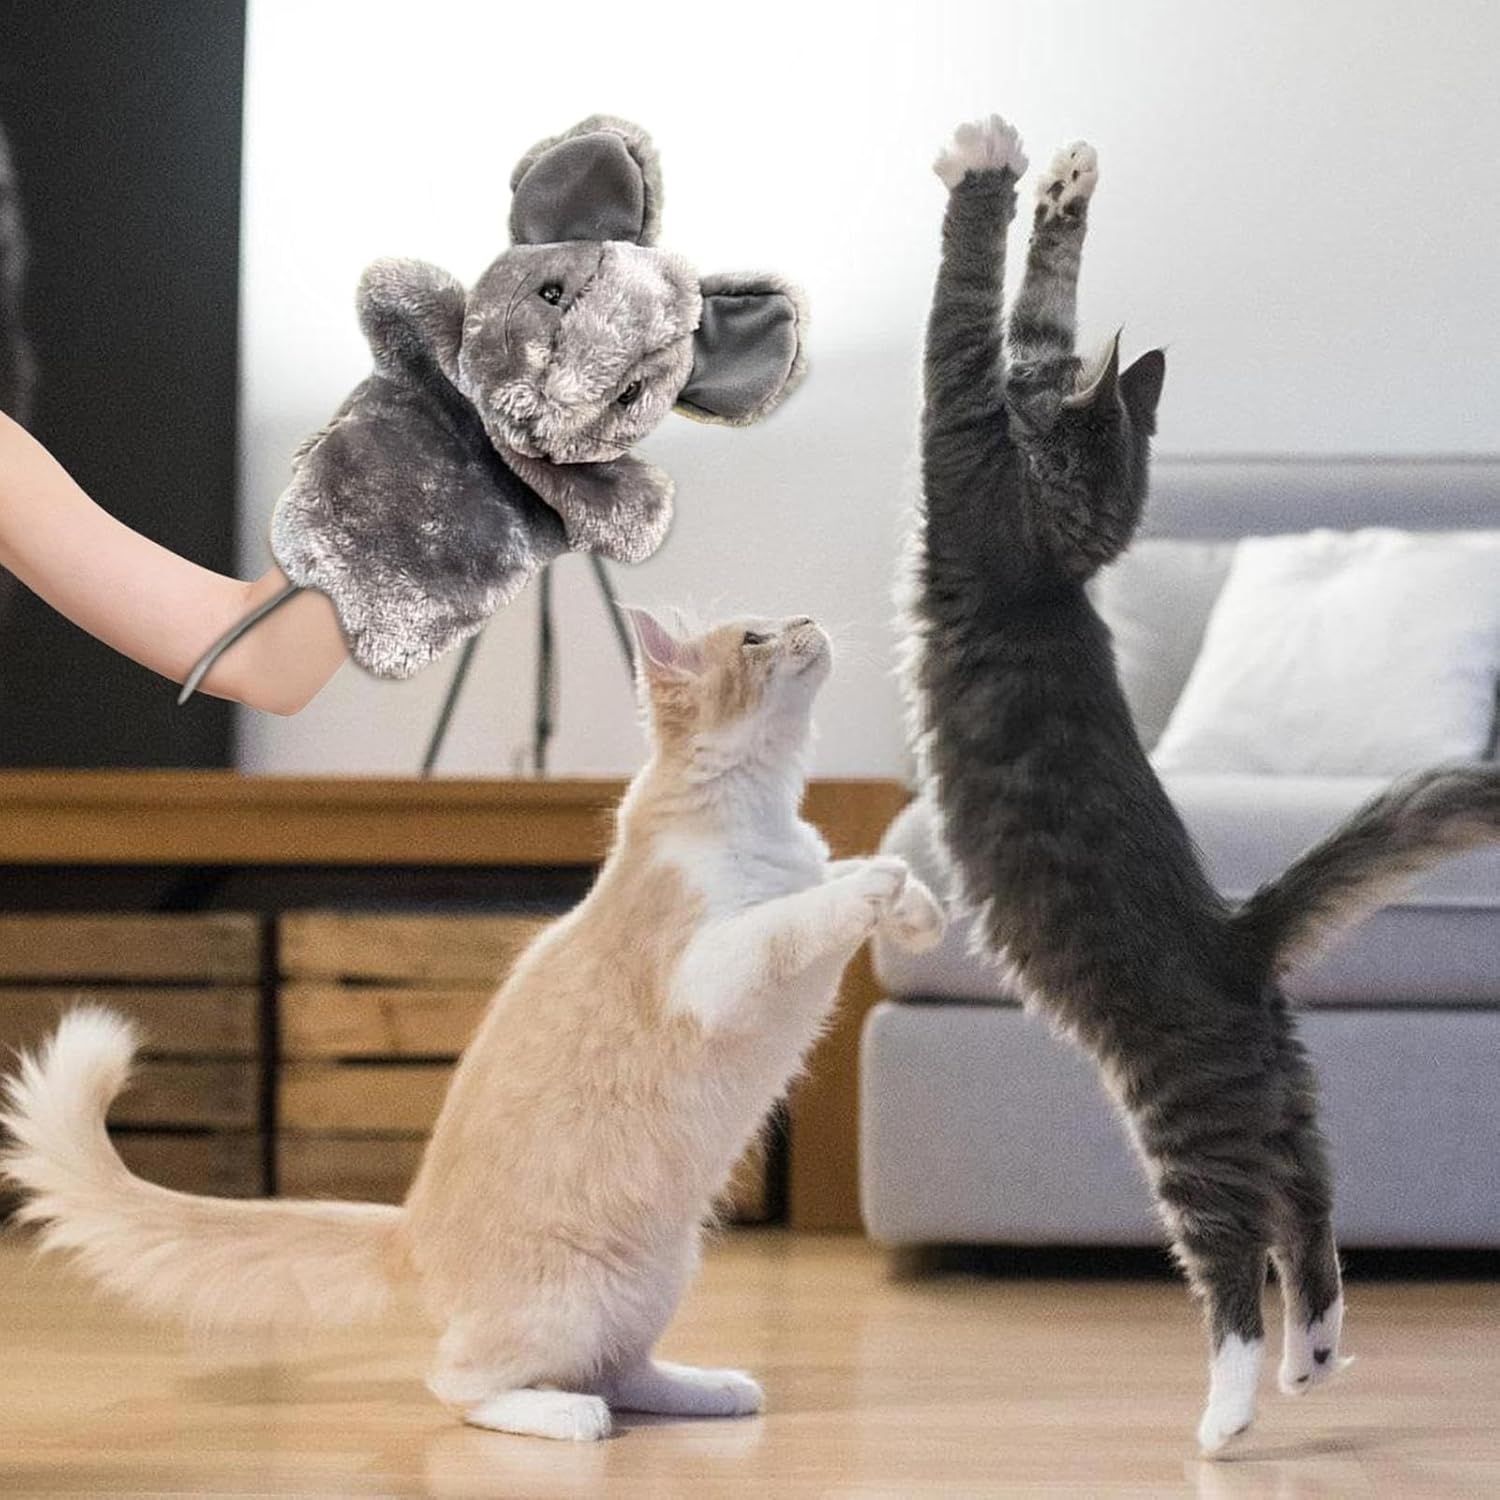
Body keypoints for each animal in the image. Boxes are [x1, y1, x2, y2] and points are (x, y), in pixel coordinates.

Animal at [0, 607, 945, 1442]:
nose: (808, 620)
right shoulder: (709, 969)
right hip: (569, 1297)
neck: (759, 814)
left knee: (617, 1369)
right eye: (755, 636)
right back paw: (568, 1419)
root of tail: (409, 1229)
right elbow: (800, 912)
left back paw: (707, 1389)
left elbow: (837, 873)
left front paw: (918, 908)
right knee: (464, 1384)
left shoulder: (792, 882)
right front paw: (885, 885)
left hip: (653, 1279)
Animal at [903, 114, 1500, 1454]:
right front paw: (1068, 184)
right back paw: (1313, 1363)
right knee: (1316, 1214)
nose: (1038, 404)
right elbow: (1041, 303)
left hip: (1186, 1122)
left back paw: (1228, 1416)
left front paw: (988, 167)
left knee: (1234, 1257)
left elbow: (967, 306)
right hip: (1288, 1098)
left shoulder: (965, 455)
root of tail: (1239, 936)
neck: (1062, 560)